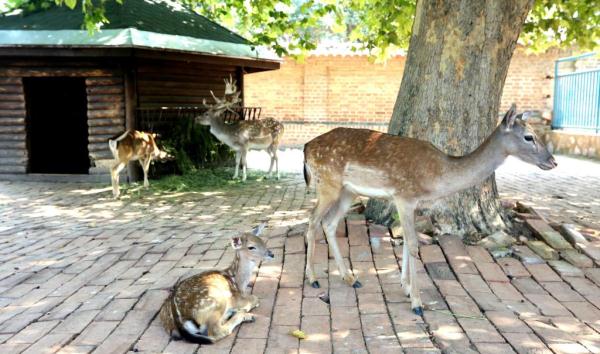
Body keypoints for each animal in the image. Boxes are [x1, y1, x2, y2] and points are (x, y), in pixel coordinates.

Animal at [304, 105, 556, 316]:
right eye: (529, 136)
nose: (553, 161)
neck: (438, 175)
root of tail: (307, 147)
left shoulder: (413, 202)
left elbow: (407, 241)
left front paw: (406, 287)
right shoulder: (404, 196)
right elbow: (414, 244)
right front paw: (417, 303)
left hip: (348, 191)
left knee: (329, 223)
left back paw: (350, 278)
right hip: (327, 183)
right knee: (313, 221)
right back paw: (313, 279)